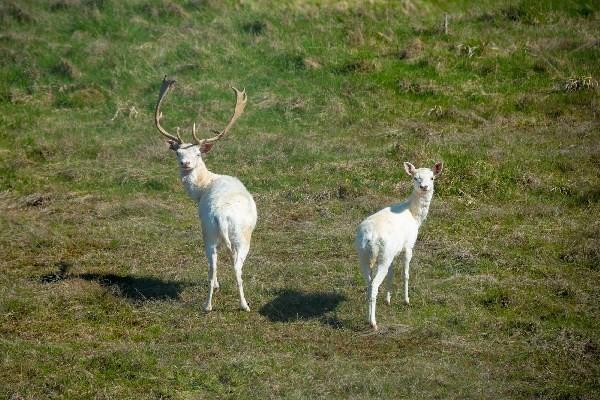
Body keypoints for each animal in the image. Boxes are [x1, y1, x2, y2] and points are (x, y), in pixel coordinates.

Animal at [154, 76, 256, 312]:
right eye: (178, 153)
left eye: (198, 153)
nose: (185, 163)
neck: (203, 188)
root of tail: (222, 217)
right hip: (239, 236)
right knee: (235, 268)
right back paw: (243, 305)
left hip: (210, 232)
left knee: (213, 266)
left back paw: (208, 305)